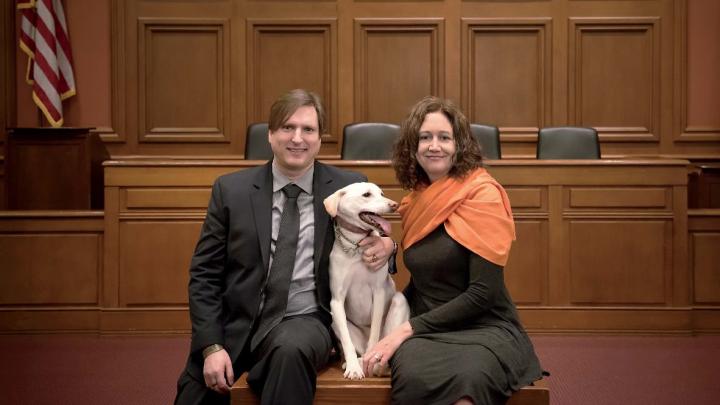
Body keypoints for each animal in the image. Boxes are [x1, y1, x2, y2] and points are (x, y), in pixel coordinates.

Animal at [322, 182, 408, 378]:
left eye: (382, 193)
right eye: (366, 195)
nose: (394, 205)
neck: (357, 246)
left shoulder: (378, 293)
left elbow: (374, 334)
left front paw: (371, 360)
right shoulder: (336, 301)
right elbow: (346, 341)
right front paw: (353, 367)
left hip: (399, 302)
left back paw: (377, 365)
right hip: (333, 318)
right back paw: (355, 362)